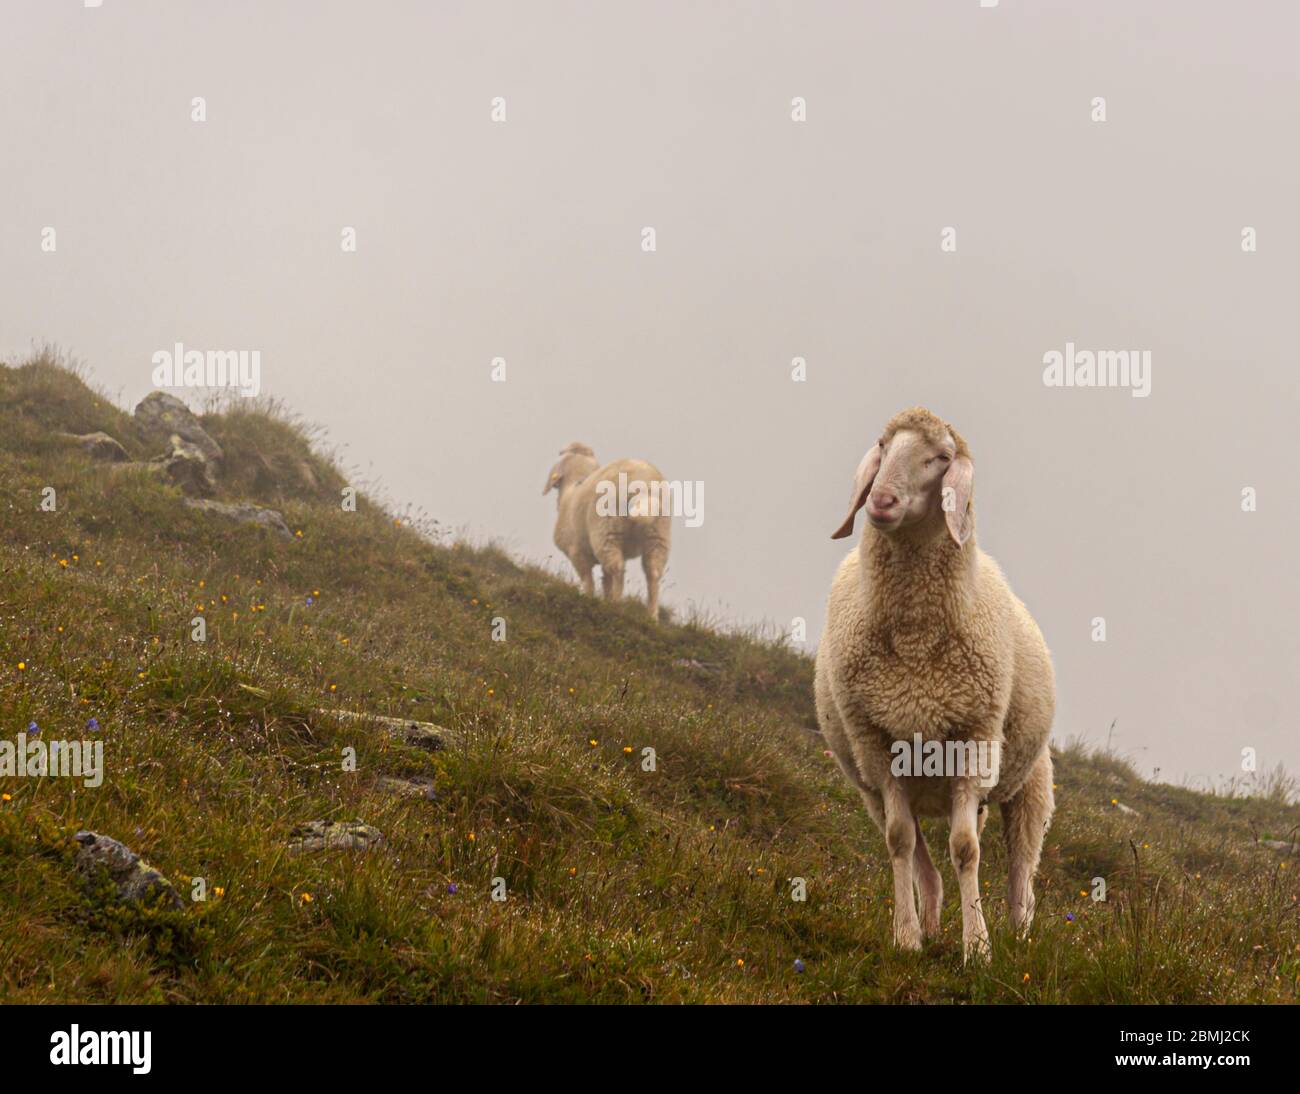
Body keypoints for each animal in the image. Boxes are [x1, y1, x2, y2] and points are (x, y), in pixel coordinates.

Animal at [543, 439, 676, 618]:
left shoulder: (577, 553)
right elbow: (605, 580)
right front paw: (603, 599)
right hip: (658, 534)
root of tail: (643, 483)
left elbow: (588, 580)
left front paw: (588, 598)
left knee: (618, 569)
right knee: (653, 573)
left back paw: (616, 605)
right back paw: (652, 616)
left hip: (606, 531)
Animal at [821, 405, 1055, 961]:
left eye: (942, 457)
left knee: (1022, 871)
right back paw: (928, 921)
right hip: (883, 787)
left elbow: (966, 849)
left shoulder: (973, 739)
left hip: (1029, 782)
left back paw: (1018, 935)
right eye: (883, 445)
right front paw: (905, 938)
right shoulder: (877, 744)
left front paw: (979, 948)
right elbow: (900, 842)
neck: (914, 640)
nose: (881, 500)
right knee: (923, 859)